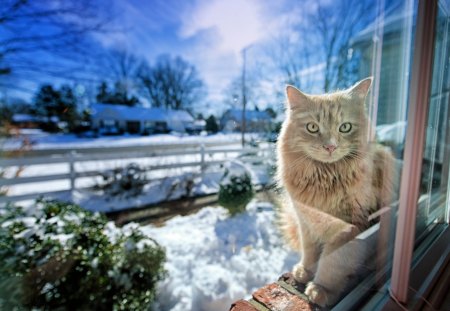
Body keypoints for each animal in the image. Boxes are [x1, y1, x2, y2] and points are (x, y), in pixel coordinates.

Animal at [278, 78, 394, 308]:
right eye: (313, 127)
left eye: (345, 127)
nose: (330, 147)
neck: (325, 179)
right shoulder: (307, 221)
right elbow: (310, 251)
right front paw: (305, 271)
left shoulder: (348, 227)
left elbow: (332, 263)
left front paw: (321, 289)